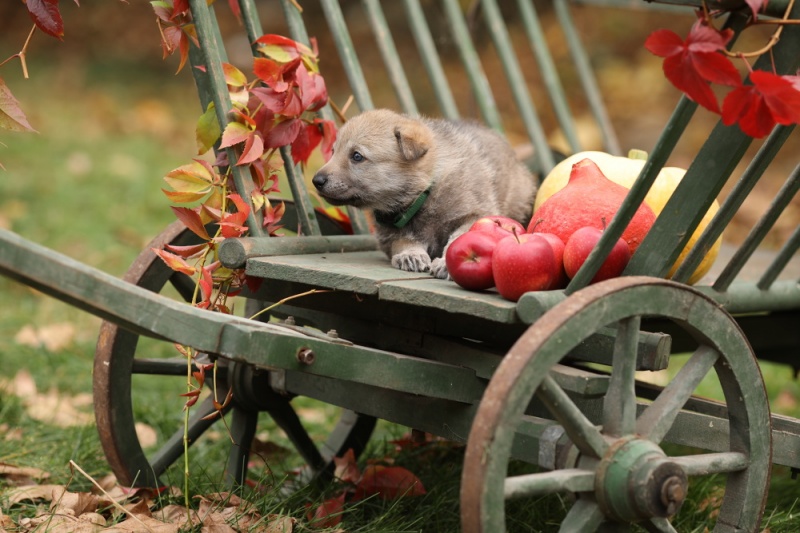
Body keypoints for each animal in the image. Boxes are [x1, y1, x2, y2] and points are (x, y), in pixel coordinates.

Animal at [312, 110, 536, 280]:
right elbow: (403, 241)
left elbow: (458, 238)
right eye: (333, 152)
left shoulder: (475, 214)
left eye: (357, 156)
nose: (316, 181)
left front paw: (445, 263)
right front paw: (410, 255)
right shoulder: (390, 236)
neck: (424, 193)